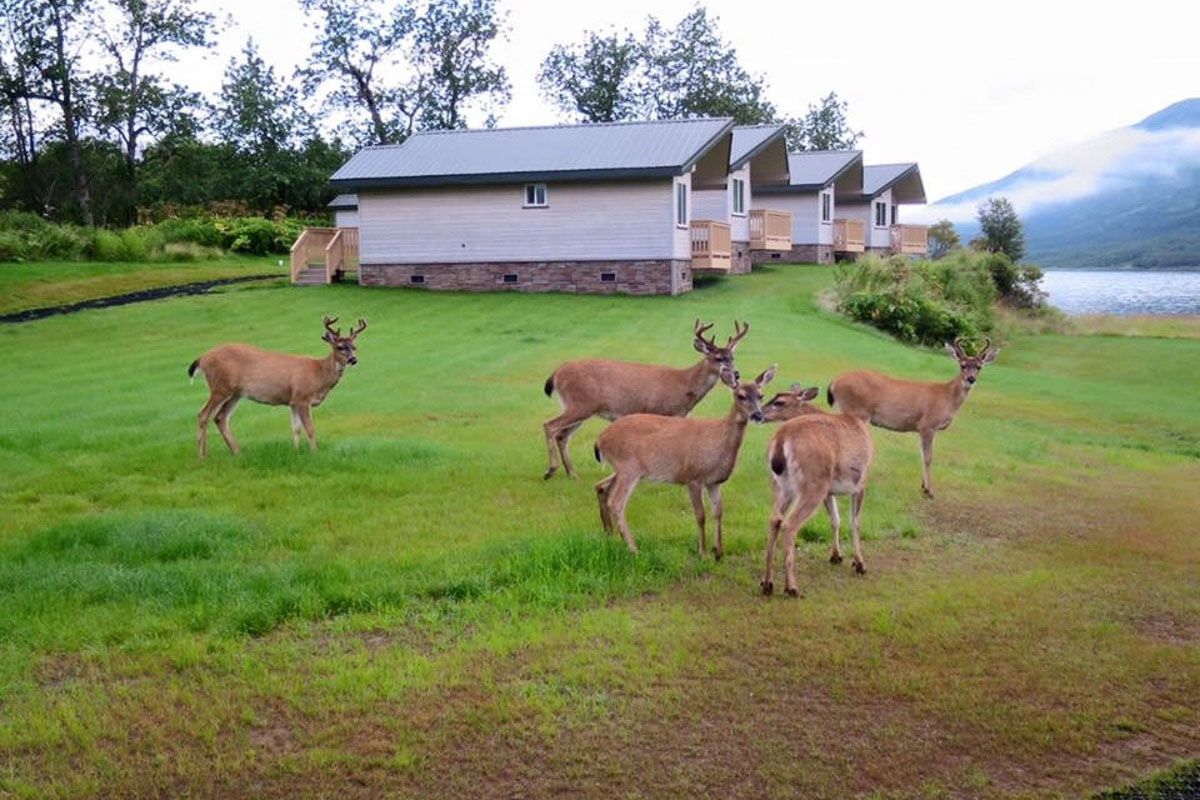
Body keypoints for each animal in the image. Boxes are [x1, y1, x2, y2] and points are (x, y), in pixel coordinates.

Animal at [187, 315, 367, 458]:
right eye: (340, 347)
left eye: (354, 347)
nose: (353, 359)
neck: (319, 373)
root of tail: (202, 358)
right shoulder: (302, 397)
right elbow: (310, 428)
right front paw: (314, 452)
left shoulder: (293, 401)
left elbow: (296, 429)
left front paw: (296, 451)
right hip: (220, 386)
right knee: (203, 414)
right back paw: (202, 456)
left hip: (235, 393)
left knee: (220, 417)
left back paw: (237, 452)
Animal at [541, 320, 750, 480]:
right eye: (718, 358)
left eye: (732, 357)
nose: (736, 375)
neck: (684, 383)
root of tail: (556, 373)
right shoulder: (661, 411)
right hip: (580, 404)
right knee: (550, 425)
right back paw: (550, 471)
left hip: (579, 407)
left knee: (562, 435)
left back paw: (572, 474)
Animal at [592, 364, 775, 558]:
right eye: (741, 396)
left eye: (761, 395)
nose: (758, 415)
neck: (717, 440)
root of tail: (600, 439)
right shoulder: (693, 477)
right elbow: (700, 515)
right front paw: (703, 552)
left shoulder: (714, 482)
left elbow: (718, 512)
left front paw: (719, 551)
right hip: (629, 467)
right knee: (616, 502)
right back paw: (633, 548)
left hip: (623, 469)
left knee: (603, 488)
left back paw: (612, 536)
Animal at [758, 383, 875, 597]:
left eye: (780, 401)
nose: (758, 413)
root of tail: (781, 439)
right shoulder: (860, 482)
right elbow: (855, 522)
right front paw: (860, 564)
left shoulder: (829, 490)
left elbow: (835, 520)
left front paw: (836, 556)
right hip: (813, 483)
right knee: (789, 524)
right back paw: (791, 587)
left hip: (784, 486)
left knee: (775, 519)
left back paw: (767, 583)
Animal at [827, 337, 998, 499]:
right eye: (962, 365)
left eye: (979, 367)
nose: (971, 379)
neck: (946, 397)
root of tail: (834, 382)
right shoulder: (928, 425)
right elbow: (928, 457)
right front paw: (929, 491)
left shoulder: (923, 429)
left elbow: (923, 455)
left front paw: (923, 486)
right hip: (856, 411)